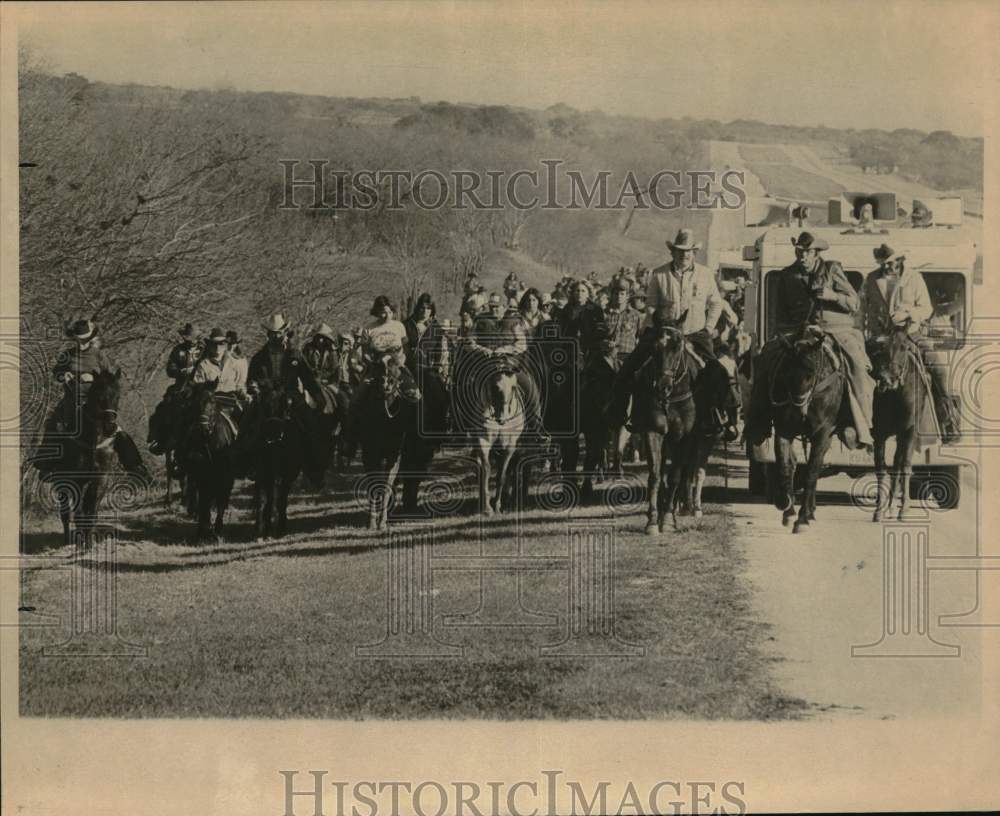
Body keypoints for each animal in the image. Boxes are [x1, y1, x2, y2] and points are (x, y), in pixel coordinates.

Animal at [185, 382, 239, 540]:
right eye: (195, 403)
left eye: (213, 401)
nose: (203, 427)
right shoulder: (201, 476)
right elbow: (204, 501)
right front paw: (203, 530)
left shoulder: (225, 476)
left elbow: (220, 500)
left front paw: (218, 529)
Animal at [764, 326, 844, 536]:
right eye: (785, 372)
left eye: (811, 374)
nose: (798, 413)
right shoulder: (783, 429)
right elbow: (785, 464)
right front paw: (786, 506)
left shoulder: (822, 434)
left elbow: (811, 472)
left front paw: (802, 519)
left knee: (814, 469)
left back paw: (809, 512)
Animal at [868, 322, 936, 520]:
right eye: (881, 348)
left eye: (904, 348)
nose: (886, 379)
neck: (895, 394)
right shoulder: (880, 433)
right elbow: (881, 467)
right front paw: (878, 510)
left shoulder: (909, 431)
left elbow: (905, 466)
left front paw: (904, 509)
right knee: (894, 464)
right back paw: (888, 506)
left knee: (899, 464)